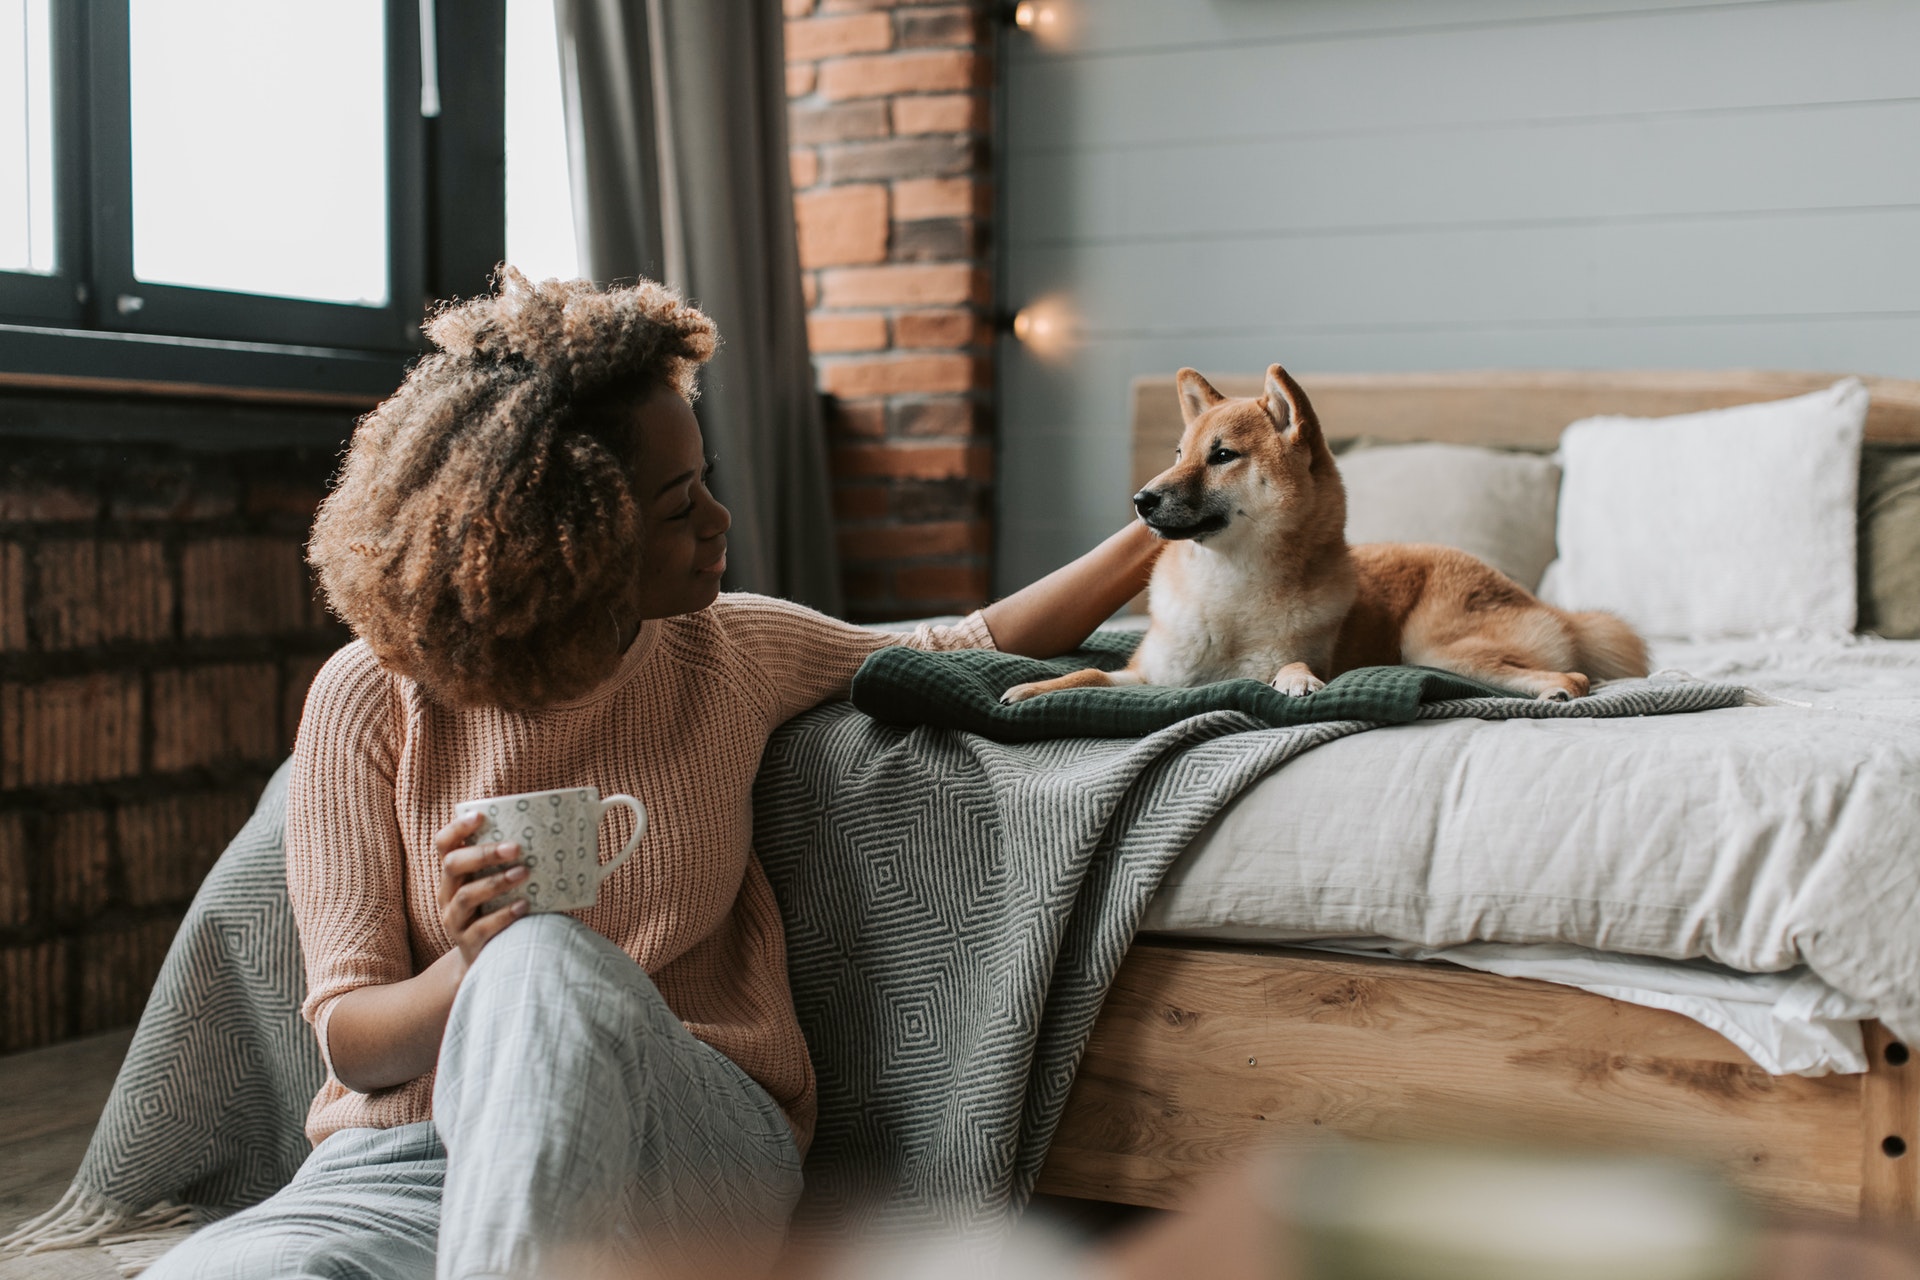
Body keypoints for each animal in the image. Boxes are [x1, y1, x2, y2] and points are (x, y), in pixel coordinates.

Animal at [1006, 362, 1651, 702]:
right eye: (1179, 454)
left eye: (1222, 456)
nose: (1140, 501)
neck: (1228, 590)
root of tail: (1544, 604)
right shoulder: (1148, 676)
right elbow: (1089, 673)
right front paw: (1031, 690)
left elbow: (1291, 666)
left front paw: (1298, 682)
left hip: (1436, 646)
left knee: (1575, 674)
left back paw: (1556, 690)